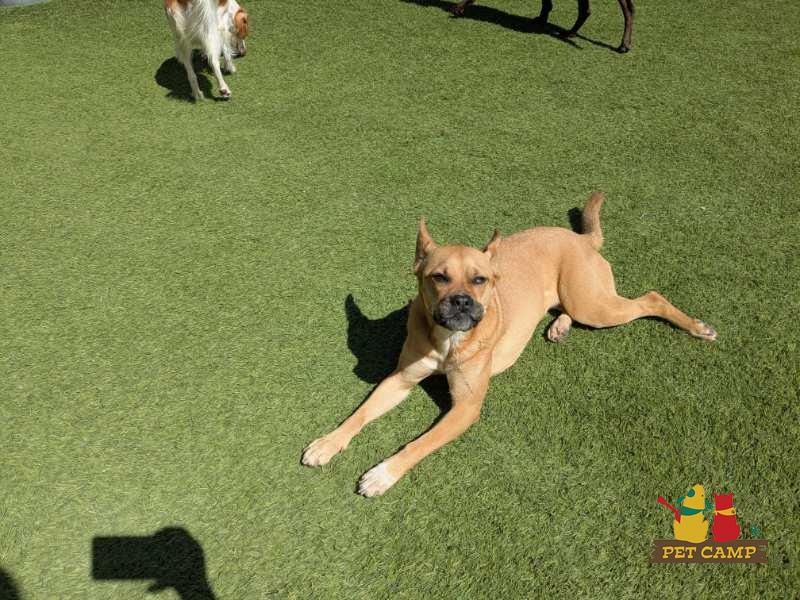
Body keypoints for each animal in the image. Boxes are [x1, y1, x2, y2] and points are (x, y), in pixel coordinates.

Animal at [302, 193, 716, 496]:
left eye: (480, 280)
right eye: (438, 277)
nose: (461, 302)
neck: (448, 340)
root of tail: (579, 238)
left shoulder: (466, 408)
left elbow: (419, 443)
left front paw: (383, 473)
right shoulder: (399, 379)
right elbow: (359, 414)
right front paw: (328, 442)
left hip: (595, 304)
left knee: (651, 298)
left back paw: (696, 327)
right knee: (566, 308)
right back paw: (559, 326)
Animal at [453, 0, 634, 53]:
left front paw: (461, 6)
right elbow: (546, 4)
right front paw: (541, 19)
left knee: (628, 9)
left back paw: (624, 44)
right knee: (586, 10)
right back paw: (570, 33)